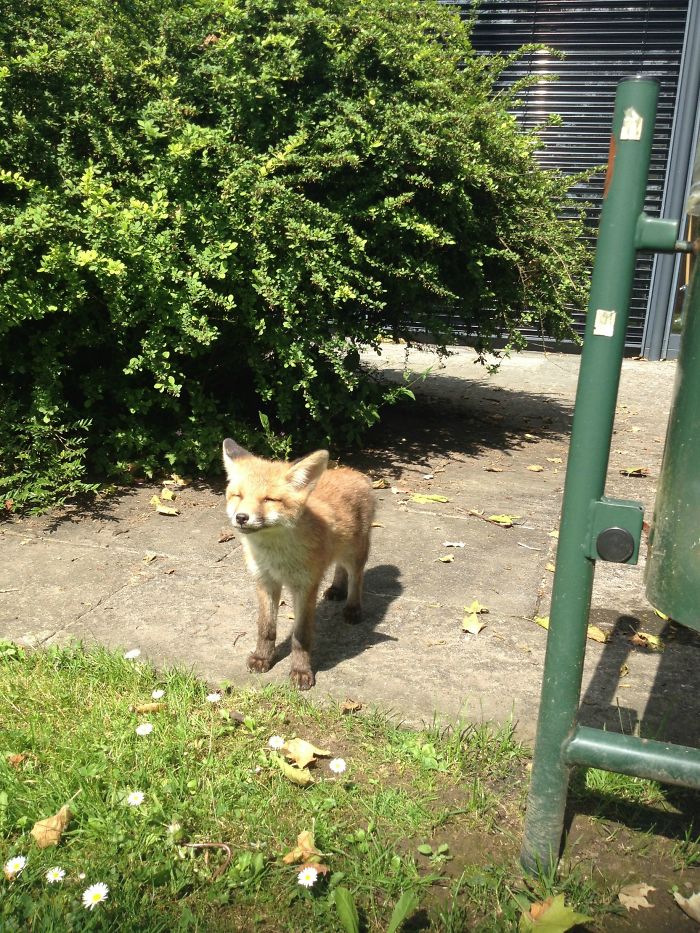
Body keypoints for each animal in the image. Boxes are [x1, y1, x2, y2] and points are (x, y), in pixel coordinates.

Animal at [222, 438, 375, 690]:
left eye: (269, 499)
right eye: (238, 496)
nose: (241, 518)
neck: (276, 557)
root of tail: (353, 472)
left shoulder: (305, 586)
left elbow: (301, 637)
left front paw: (301, 671)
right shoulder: (265, 582)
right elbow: (266, 628)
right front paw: (263, 658)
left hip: (355, 554)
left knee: (356, 578)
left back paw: (353, 607)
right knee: (339, 567)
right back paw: (337, 589)